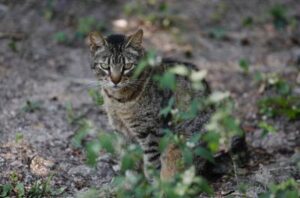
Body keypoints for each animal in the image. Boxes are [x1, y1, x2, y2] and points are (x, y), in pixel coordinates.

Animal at [88, 29, 214, 179]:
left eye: (128, 66)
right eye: (105, 66)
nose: (115, 80)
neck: (117, 100)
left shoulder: (150, 132)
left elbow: (151, 163)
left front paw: (151, 182)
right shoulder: (121, 131)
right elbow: (129, 158)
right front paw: (131, 179)